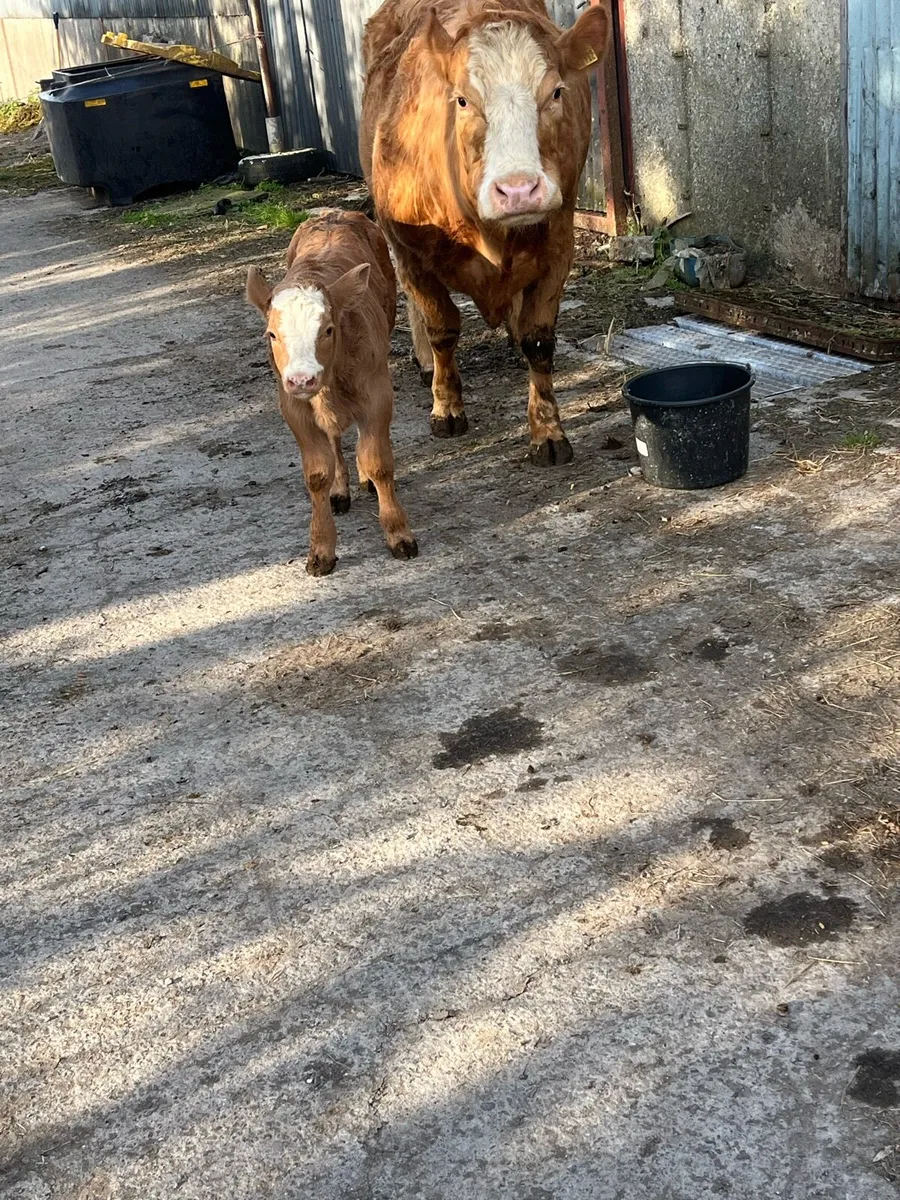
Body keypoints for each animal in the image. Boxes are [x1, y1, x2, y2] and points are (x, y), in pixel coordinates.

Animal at [246, 210, 418, 576]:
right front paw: (321, 549)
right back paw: (340, 490)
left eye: (327, 330)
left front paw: (398, 533)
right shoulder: (294, 408)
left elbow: (378, 460)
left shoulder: (378, 393)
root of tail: (332, 213)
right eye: (271, 334)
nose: (301, 379)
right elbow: (316, 474)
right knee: (335, 438)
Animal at [360, 0, 610, 465]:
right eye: (462, 100)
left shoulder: (558, 246)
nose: (518, 190)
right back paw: (425, 363)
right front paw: (446, 407)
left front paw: (548, 431)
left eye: (556, 93)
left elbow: (538, 340)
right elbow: (442, 328)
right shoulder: (409, 248)